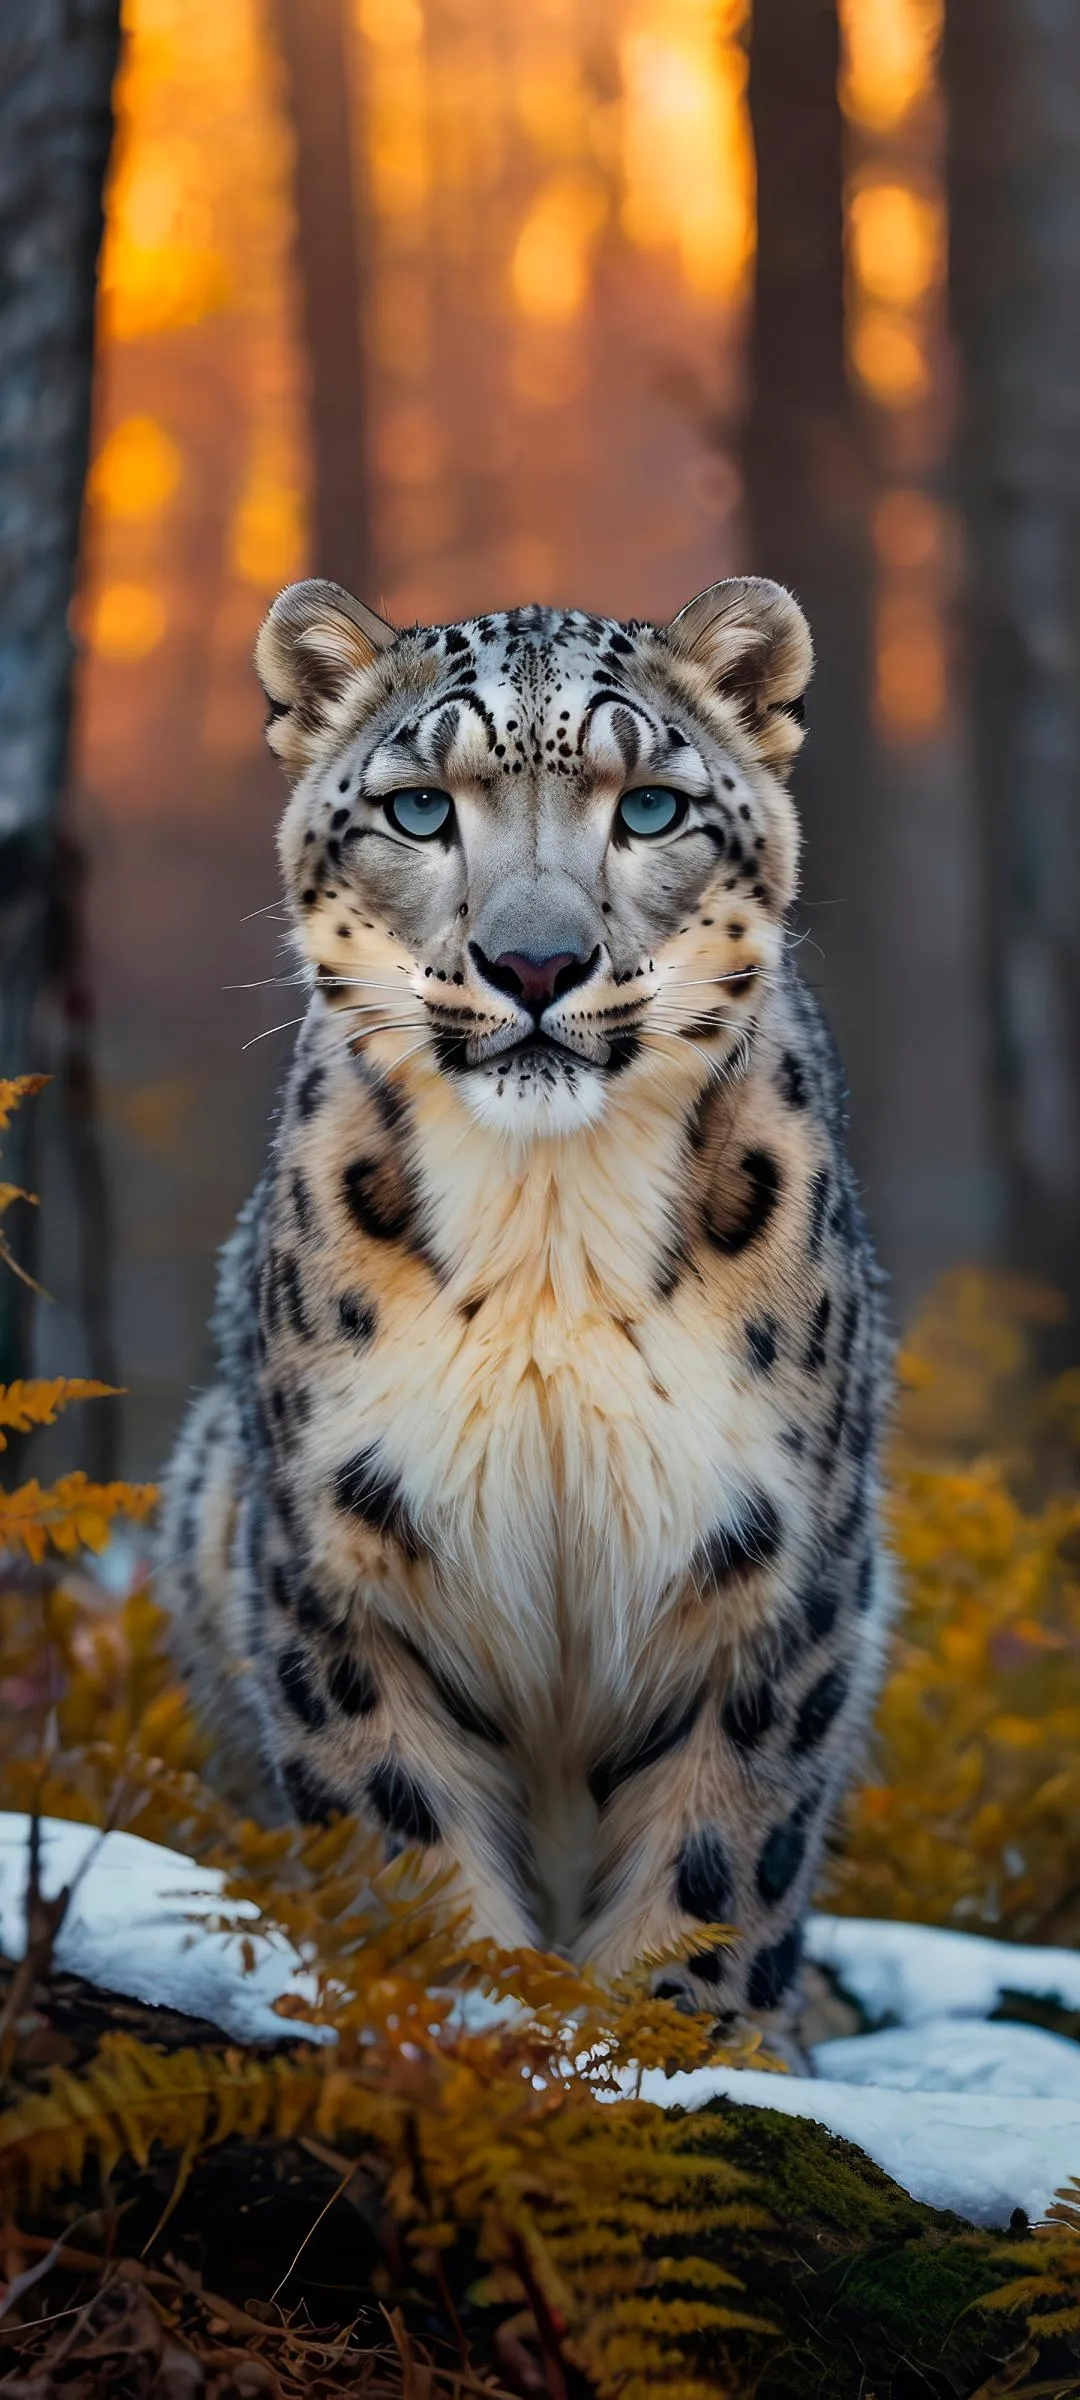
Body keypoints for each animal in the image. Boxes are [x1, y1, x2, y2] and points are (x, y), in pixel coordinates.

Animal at [159, 571, 895, 2047]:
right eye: (420, 809)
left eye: (652, 807)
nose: (537, 962)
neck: (553, 1235)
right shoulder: (336, 1559)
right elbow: (398, 1826)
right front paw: (461, 2021)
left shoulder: (782, 1563)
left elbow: (724, 1851)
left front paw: (685, 2043)